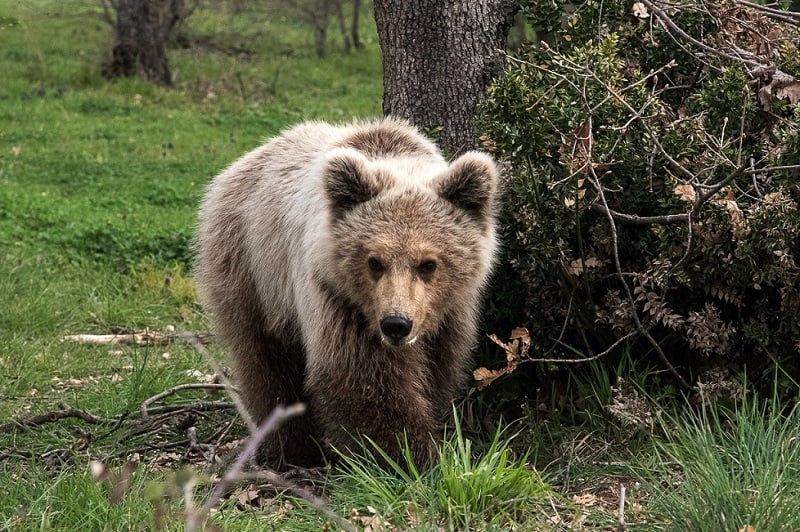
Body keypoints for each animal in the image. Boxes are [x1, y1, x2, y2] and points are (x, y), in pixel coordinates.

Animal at [197, 118, 496, 468]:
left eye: (428, 264)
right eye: (374, 261)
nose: (396, 324)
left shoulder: (450, 313)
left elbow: (442, 366)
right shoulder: (336, 298)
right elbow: (358, 375)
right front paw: (408, 453)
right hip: (251, 269)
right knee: (265, 358)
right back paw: (295, 448)